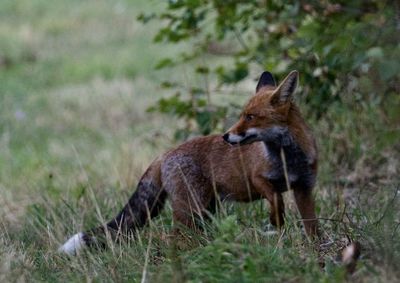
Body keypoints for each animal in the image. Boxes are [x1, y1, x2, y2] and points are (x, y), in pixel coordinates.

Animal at [58, 70, 318, 255]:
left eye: (251, 117)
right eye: (242, 115)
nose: (226, 136)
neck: (288, 160)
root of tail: (164, 154)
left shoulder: (304, 188)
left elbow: (312, 226)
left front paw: (314, 249)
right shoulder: (258, 178)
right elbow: (276, 199)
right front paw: (277, 222)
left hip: (205, 212)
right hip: (191, 212)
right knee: (173, 238)